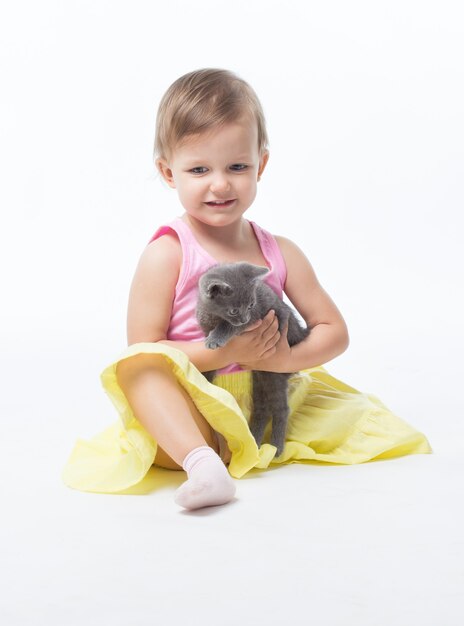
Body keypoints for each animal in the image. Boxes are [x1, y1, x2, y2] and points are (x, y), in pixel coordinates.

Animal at [195, 260, 308, 456]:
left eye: (251, 305)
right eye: (234, 311)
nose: (244, 318)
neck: (214, 316)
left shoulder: (255, 318)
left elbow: (228, 326)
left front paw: (215, 339)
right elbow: (210, 363)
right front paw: (204, 378)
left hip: (274, 374)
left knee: (281, 409)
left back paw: (276, 447)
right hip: (260, 376)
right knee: (262, 409)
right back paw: (254, 442)